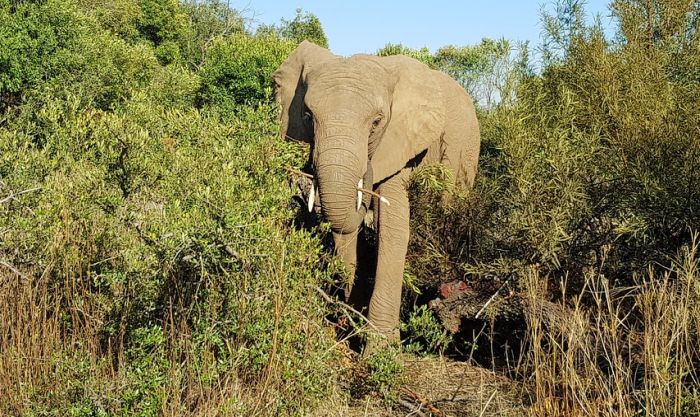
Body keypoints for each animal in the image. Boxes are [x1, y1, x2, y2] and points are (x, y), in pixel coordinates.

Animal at [274, 41, 482, 348]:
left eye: (376, 122)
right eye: (308, 117)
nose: (367, 173)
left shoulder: (401, 143)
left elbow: (393, 226)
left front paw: (380, 347)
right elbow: (345, 230)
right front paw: (351, 322)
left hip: (466, 149)